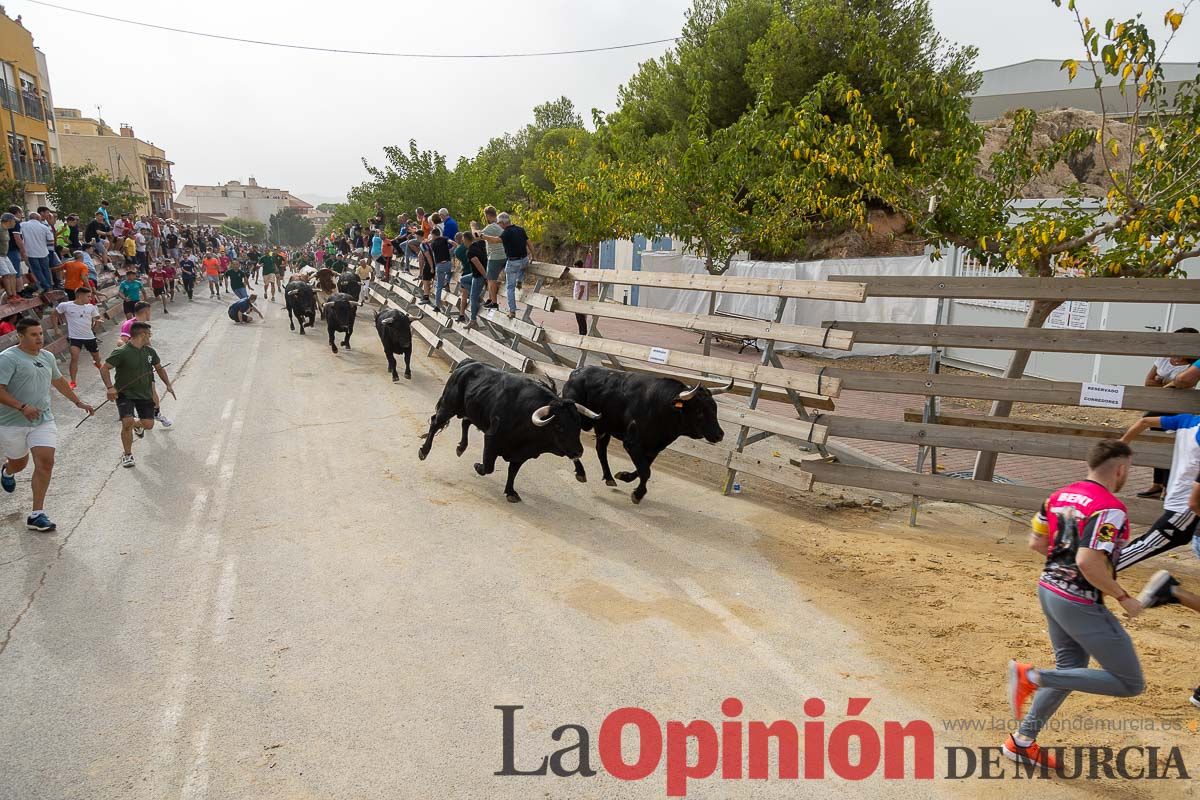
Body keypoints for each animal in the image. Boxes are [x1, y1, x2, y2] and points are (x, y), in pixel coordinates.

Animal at [420, 362, 600, 503]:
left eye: (578, 426)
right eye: (560, 427)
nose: (578, 451)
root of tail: (466, 364)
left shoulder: (522, 453)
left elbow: (513, 471)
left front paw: (510, 492)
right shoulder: (492, 439)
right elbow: (489, 466)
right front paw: (478, 466)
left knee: (465, 421)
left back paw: (461, 447)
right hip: (448, 406)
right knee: (435, 423)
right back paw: (424, 451)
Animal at [561, 367, 729, 503]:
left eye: (714, 408)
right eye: (699, 411)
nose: (719, 435)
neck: (662, 406)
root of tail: (576, 373)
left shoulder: (655, 447)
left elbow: (643, 468)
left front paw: (624, 476)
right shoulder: (632, 443)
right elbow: (645, 471)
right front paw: (638, 494)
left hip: (603, 426)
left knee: (601, 450)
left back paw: (609, 478)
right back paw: (581, 473)